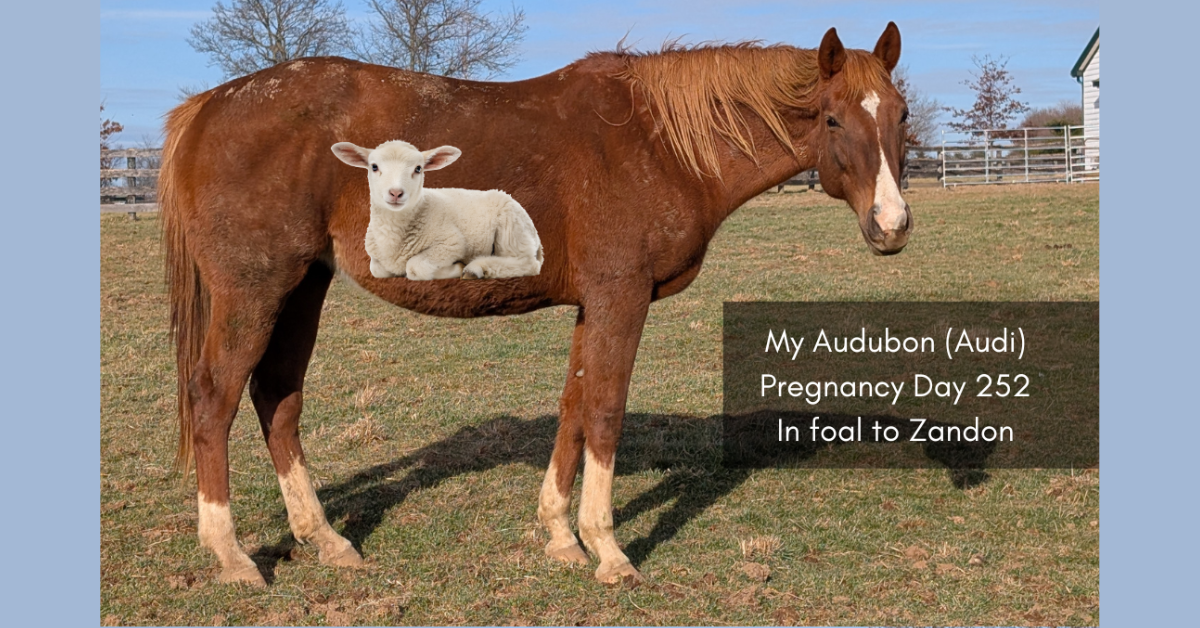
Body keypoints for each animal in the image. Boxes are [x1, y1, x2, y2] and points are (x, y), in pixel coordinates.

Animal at [331, 140, 544, 281]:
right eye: (374, 167)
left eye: (418, 168)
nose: (396, 193)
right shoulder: (376, 259)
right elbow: (377, 270)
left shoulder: (451, 243)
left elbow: (415, 267)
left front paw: (457, 267)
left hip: (511, 230)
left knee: (528, 263)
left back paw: (476, 269)